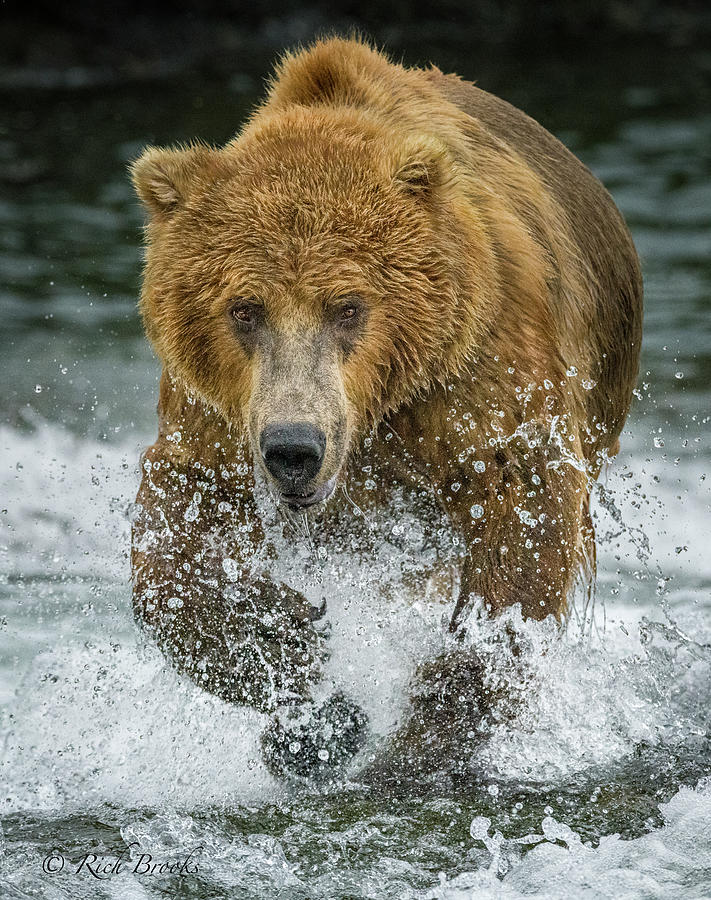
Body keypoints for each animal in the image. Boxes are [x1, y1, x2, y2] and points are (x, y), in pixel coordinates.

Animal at [129, 35, 644, 780]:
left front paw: (422, 738)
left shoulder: (471, 373)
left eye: (348, 306)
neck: (377, 417)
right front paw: (302, 678)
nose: (294, 450)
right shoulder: (220, 416)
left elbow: (520, 516)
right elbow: (179, 534)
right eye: (244, 309)